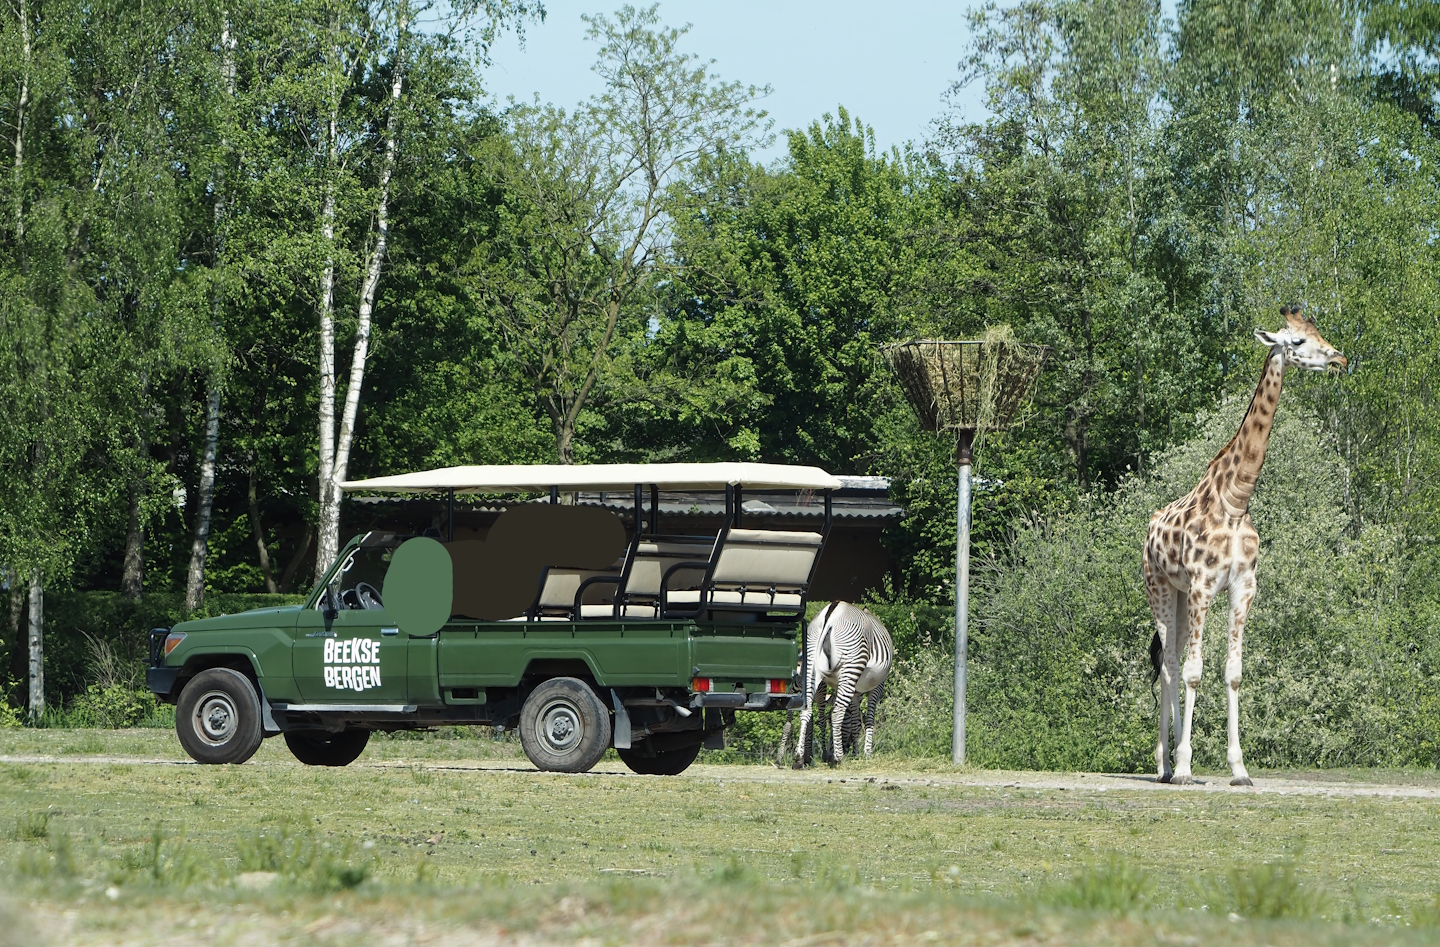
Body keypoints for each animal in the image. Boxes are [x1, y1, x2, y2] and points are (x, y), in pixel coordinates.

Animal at [789, 601, 893, 766]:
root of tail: (831, 612)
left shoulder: (856, 692)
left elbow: (855, 721)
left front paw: (856, 753)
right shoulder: (877, 686)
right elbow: (869, 718)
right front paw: (866, 753)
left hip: (811, 662)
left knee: (807, 709)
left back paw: (799, 758)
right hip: (851, 664)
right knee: (837, 713)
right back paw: (837, 757)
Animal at [1145, 306, 1346, 786]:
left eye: (1318, 333)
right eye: (1296, 341)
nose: (1339, 359)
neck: (1236, 500)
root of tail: (1148, 528)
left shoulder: (1242, 588)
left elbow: (1232, 673)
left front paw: (1239, 769)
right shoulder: (1202, 586)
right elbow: (1194, 673)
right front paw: (1185, 765)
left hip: (1179, 597)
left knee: (1171, 659)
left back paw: (1169, 762)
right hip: (1160, 589)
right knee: (1170, 666)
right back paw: (1165, 765)